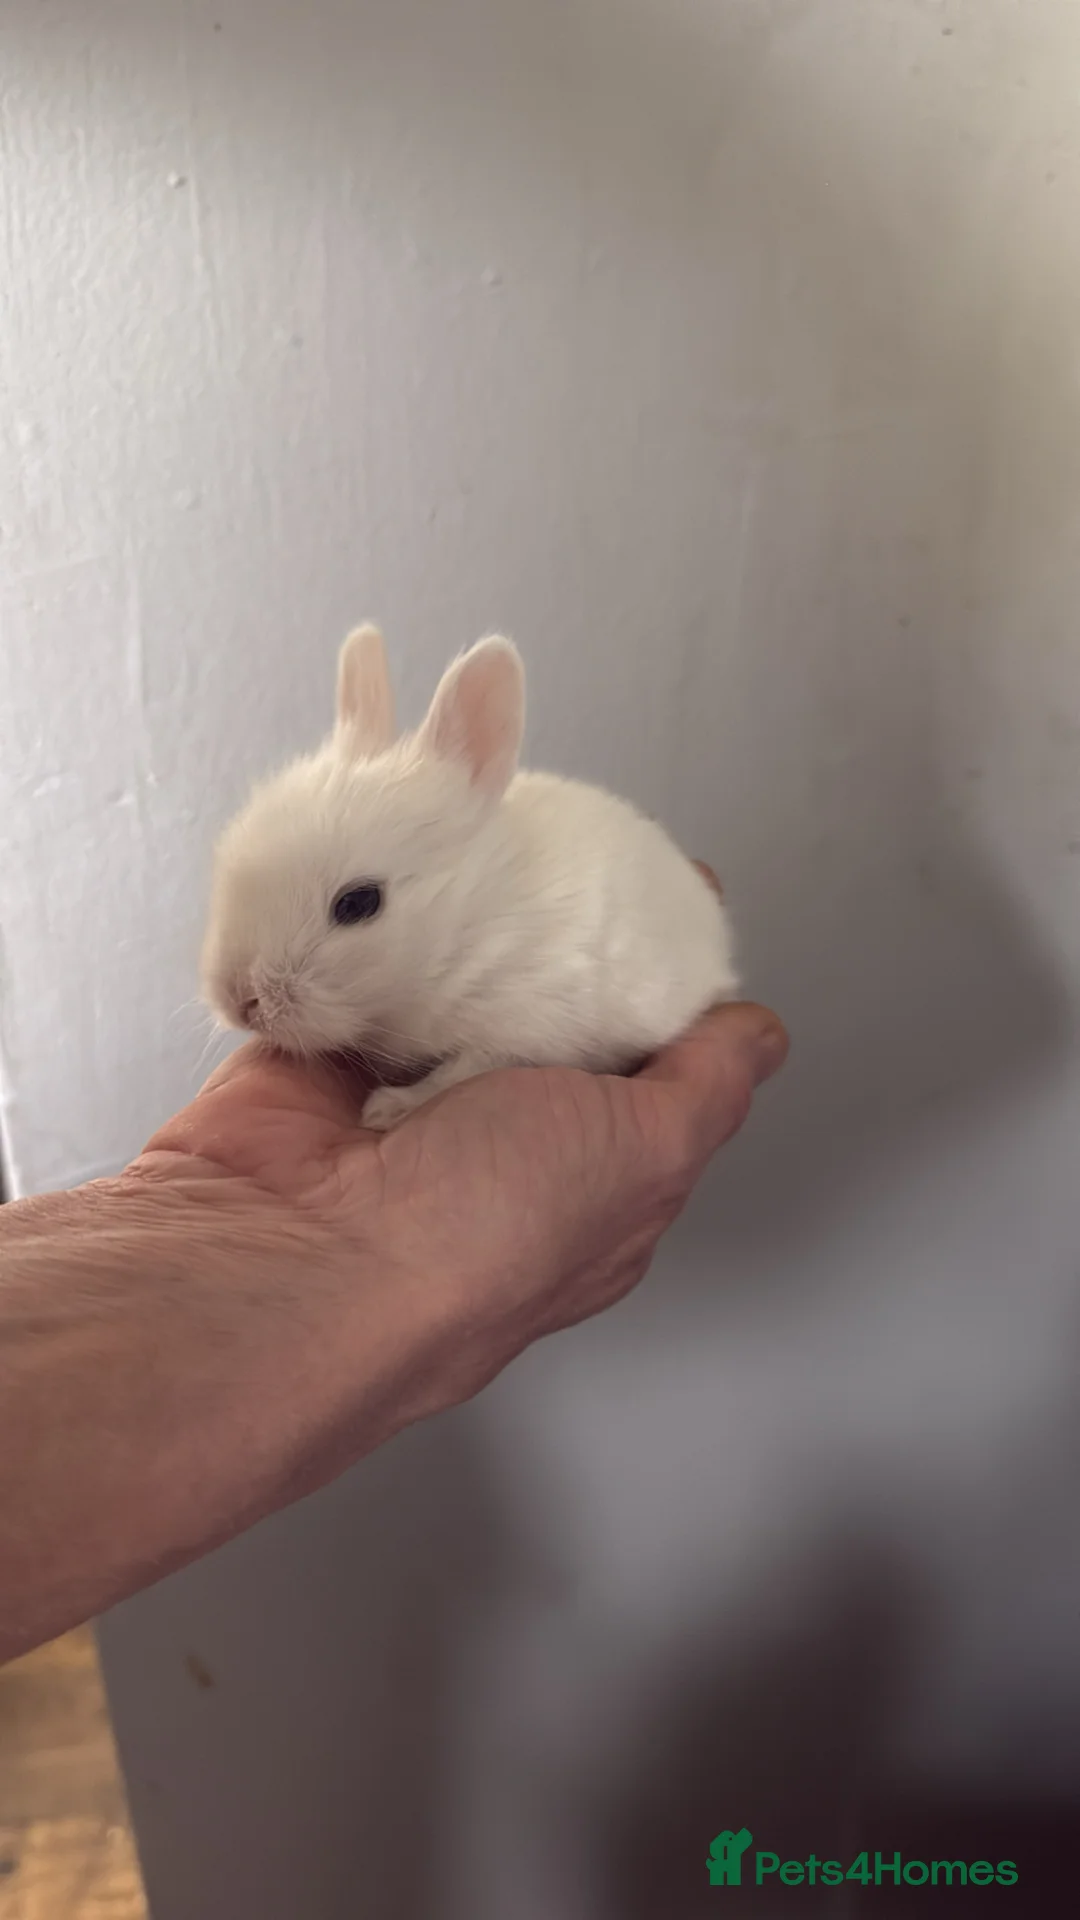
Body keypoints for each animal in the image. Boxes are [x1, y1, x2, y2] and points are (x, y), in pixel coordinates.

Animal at [201, 625, 739, 1130]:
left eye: (358, 903)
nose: (238, 1001)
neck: (467, 924)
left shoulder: (524, 1031)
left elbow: (458, 1075)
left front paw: (387, 1110)